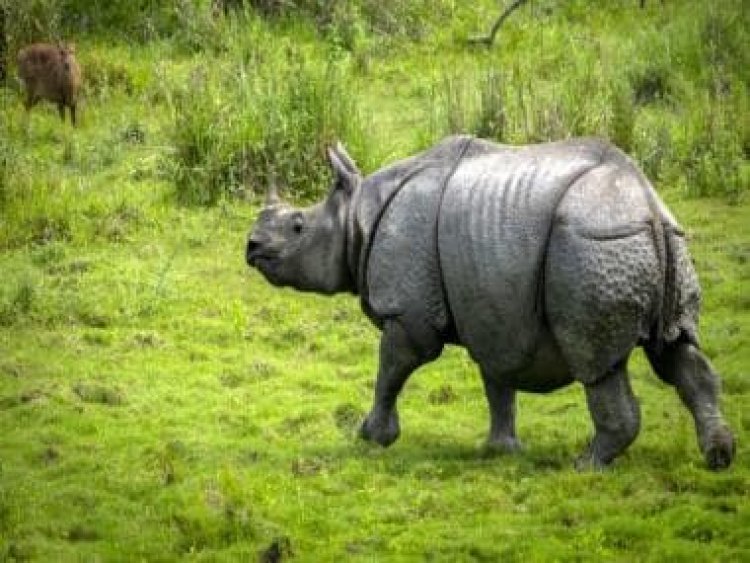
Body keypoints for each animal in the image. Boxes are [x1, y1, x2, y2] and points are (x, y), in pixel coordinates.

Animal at [245, 135, 735, 470]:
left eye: (297, 226)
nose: (251, 246)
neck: (356, 219)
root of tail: (647, 202)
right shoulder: (495, 308)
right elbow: (498, 382)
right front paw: (500, 450)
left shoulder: (407, 312)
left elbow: (391, 371)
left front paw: (371, 437)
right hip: (661, 242)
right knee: (676, 350)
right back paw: (718, 457)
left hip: (592, 244)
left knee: (596, 362)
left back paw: (585, 466)